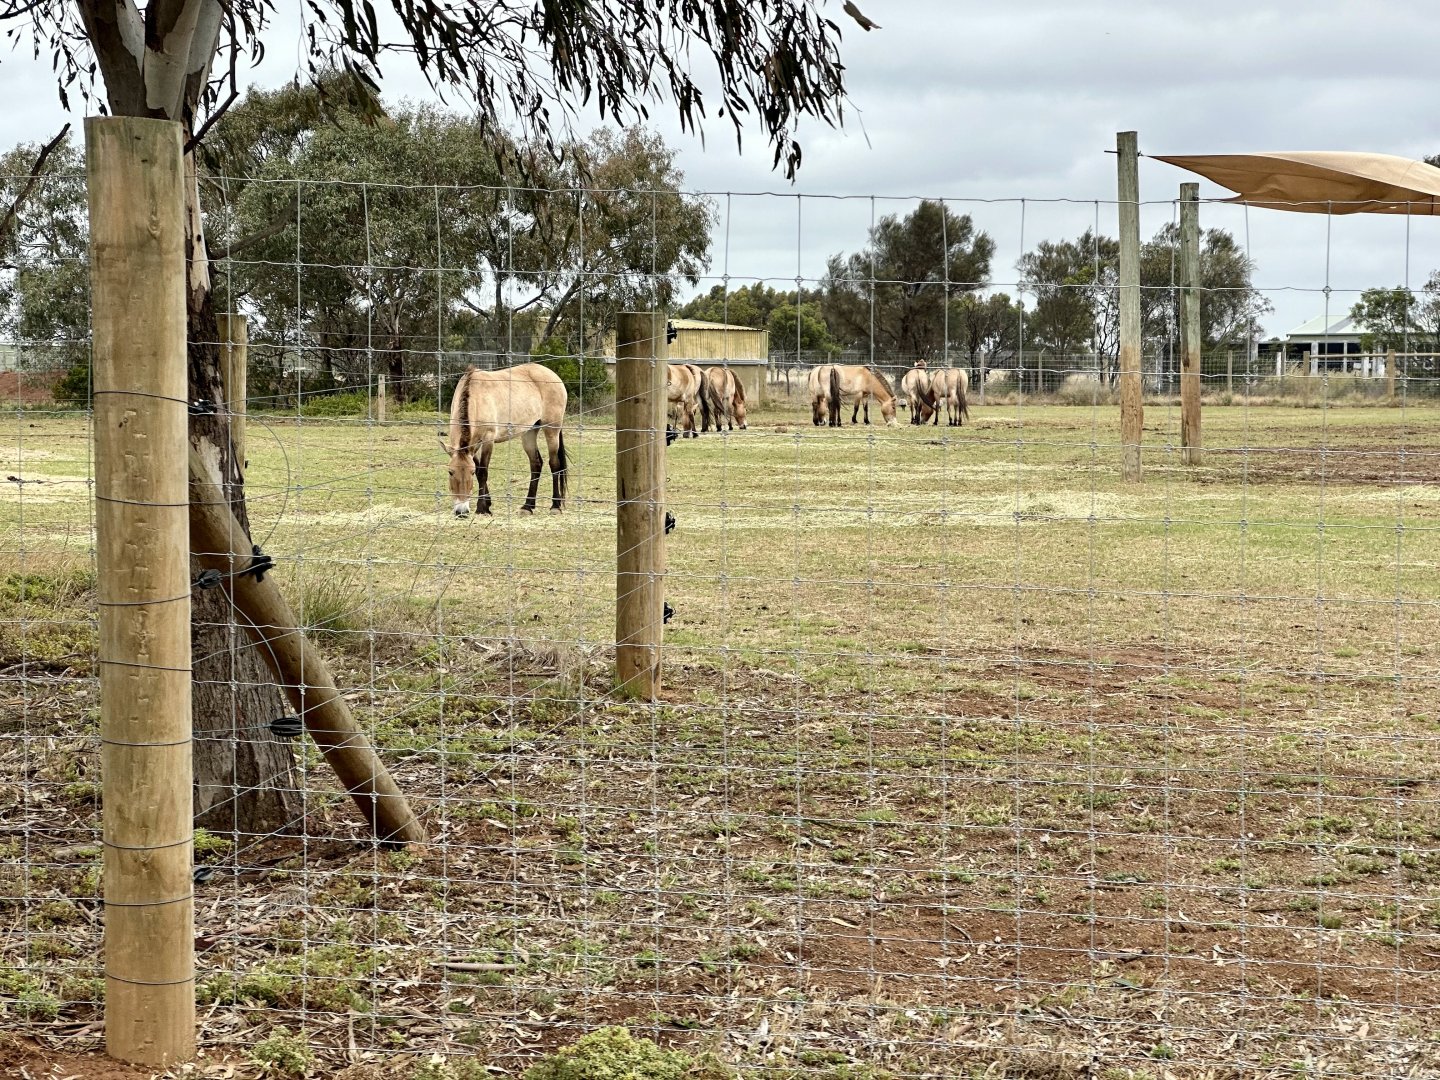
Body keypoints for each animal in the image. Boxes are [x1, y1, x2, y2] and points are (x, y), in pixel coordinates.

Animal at [441, 363, 568, 517]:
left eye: (470, 472)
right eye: (450, 472)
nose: (461, 511)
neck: (475, 397)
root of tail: (553, 375)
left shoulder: (488, 440)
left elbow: (482, 472)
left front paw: (482, 508)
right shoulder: (474, 446)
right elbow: (479, 470)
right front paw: (488, 504)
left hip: (551, 431)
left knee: (554, 464)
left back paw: (555, 506)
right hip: (529, 432)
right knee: (536, 465)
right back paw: (527, 506)